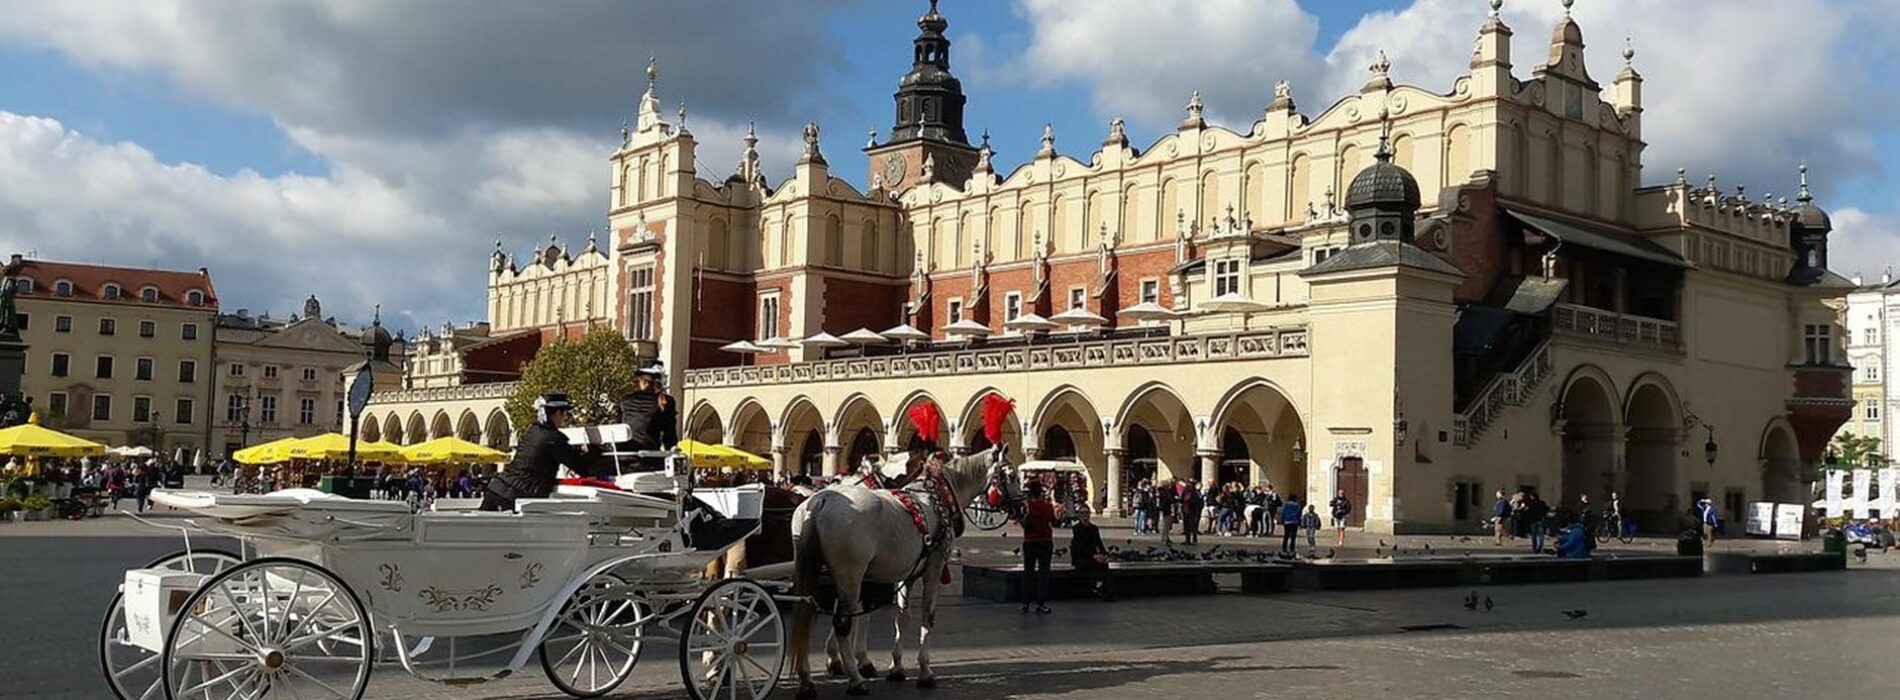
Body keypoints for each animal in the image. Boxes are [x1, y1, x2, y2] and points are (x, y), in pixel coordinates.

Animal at [790, 445, 1018, 696]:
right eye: (1013, 476)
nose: (1024, 507)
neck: (939, 497)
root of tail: (821, 500)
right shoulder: (933, 568)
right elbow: (926, 616)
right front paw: (925, 671)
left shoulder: (906, 574)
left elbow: (901, 617)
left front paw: (895, 667)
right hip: (850, 573)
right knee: (841, 622)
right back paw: (855, 680)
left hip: (817, 570)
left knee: (808, 613)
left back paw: (806, 679)